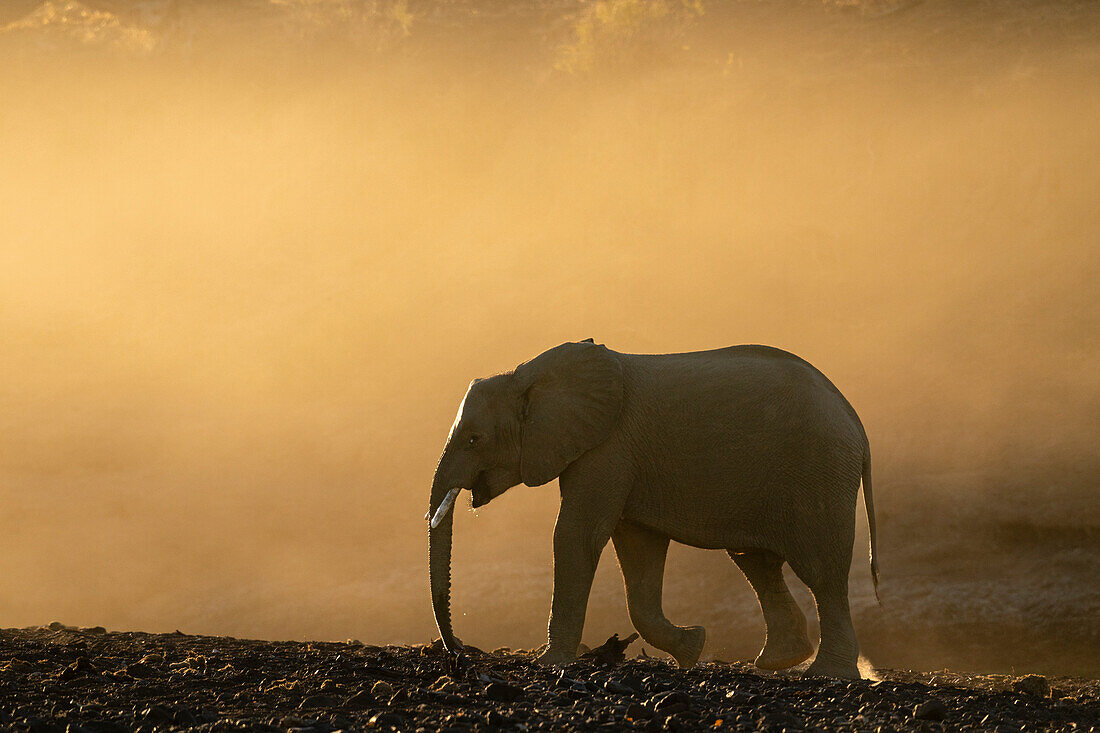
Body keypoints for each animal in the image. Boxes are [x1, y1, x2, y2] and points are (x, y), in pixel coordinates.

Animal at [424, 338, 880, 677]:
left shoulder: (608, 446)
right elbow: (638, 548)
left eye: (474, 440)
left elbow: (576, 535)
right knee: (756, 561)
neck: (527, 375)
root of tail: (857, 423)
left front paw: (550, 663)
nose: (459, 651)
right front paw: (693, 647)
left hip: (819, 472)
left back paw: (827, 673)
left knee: (821, 572)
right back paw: (777, 661)